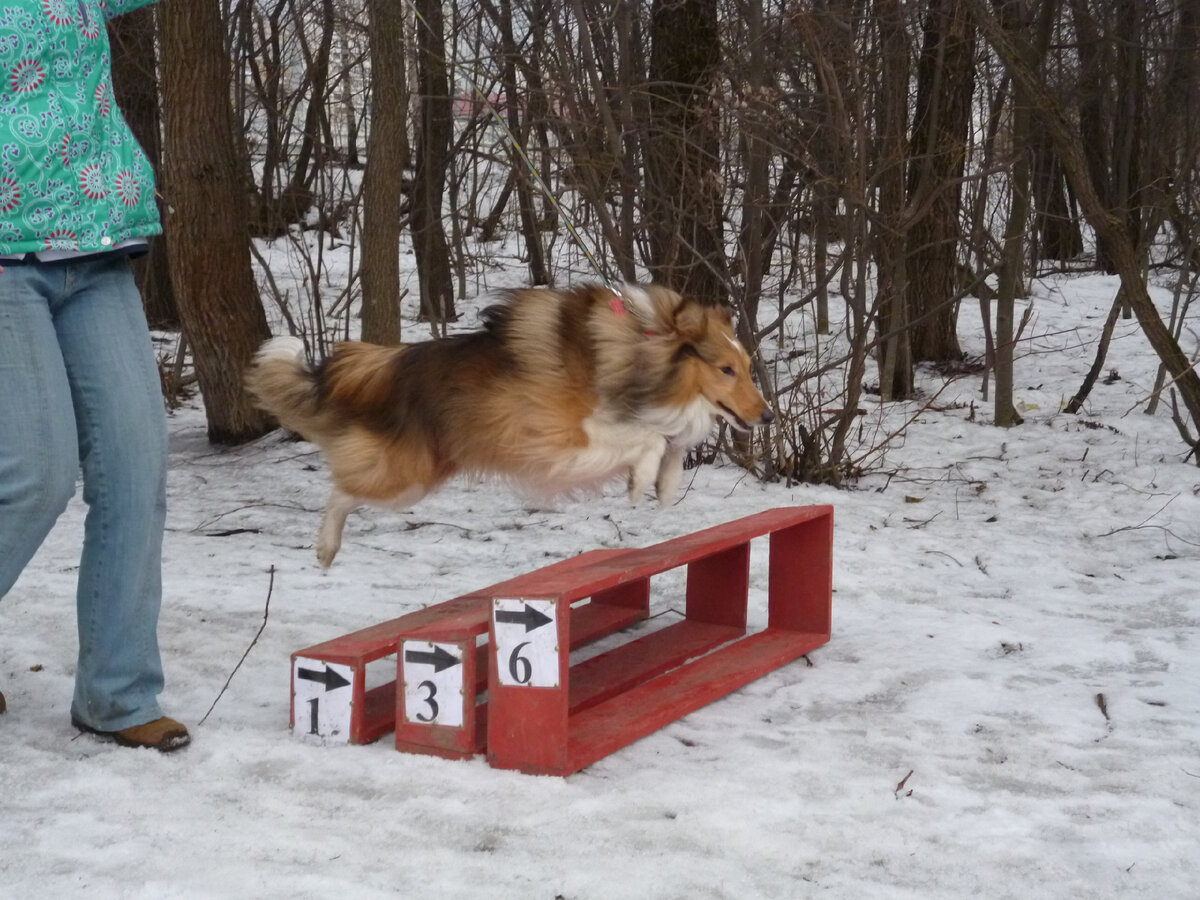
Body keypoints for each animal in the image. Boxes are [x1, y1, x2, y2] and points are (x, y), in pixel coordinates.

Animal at [248, 283, 772, 564]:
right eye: (725, 369)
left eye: (747, 366)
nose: (765, 415)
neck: (643, 347)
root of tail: (391, 364)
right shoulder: (562, 439)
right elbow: (648, 437)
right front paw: (642, 479)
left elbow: (669, 439)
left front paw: (665, 483)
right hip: (405, 479)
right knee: (341, 492)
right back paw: (325, 547)